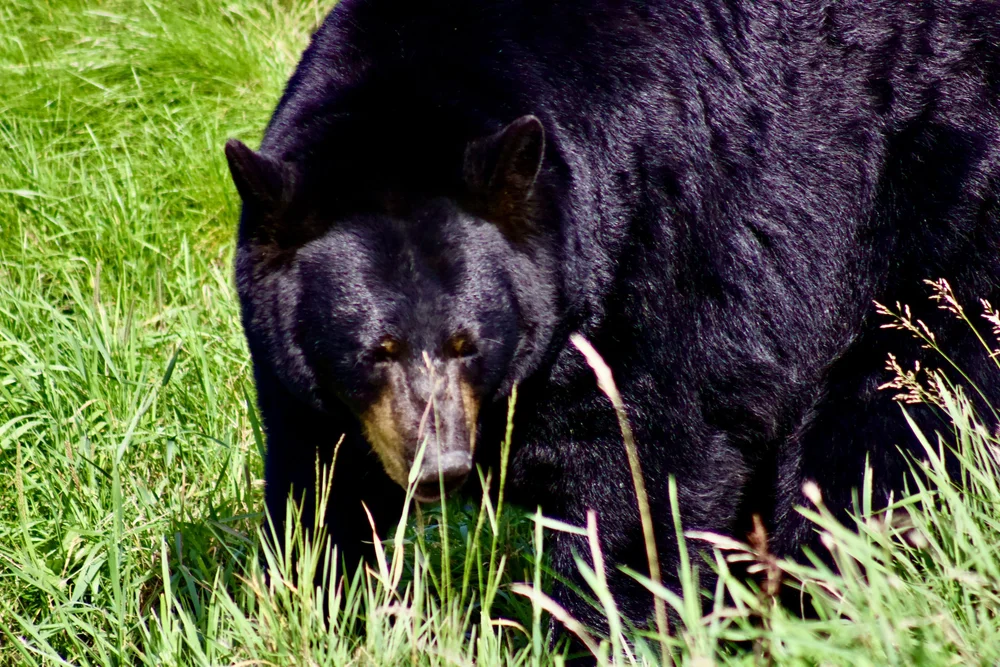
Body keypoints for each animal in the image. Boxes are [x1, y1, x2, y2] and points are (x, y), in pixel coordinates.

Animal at [225, 0, 1000, 637]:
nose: (439, 467)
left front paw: (611, 628)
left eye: (467, 342)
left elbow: (647, 467)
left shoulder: (658, 254)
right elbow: (319, 485)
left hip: (937, 207)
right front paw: (316, 608)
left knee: (885, 425)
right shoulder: (304, 376)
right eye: (375, 349)